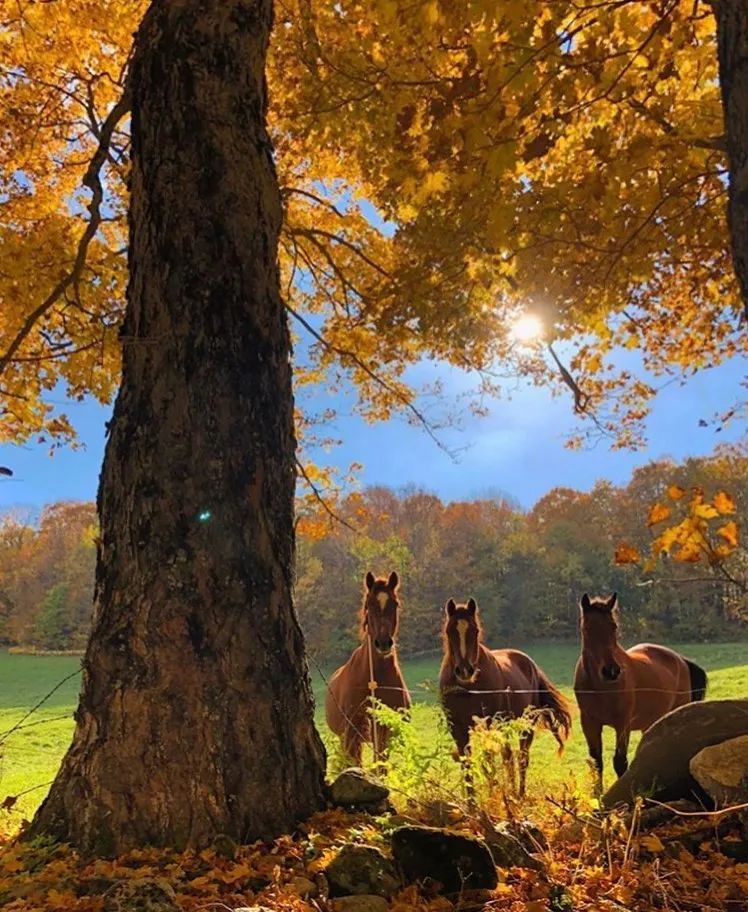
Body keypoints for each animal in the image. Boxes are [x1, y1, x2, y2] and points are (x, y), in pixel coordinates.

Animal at [326, 572, 412, 764]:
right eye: (369, 604)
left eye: (395, 604)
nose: (383, 643)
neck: (374, 679)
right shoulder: (352, 734)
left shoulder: (383, 731)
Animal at [438, 596, 572, 796]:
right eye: (449, 631)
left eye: (475, 631)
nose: (465, 671)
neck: (469, 688)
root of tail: (531, 665)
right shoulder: (457, 726)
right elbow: (468, 763)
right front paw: (472, 801)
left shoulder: (490, 722)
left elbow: (492, 761)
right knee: (508, 756)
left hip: (524, 724)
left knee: (520, 757)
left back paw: (519, 794)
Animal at [572, 592, 708, 784]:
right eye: (587, 628)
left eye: (613, 627)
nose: (611, 671)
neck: (600, 687)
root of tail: (680, 660)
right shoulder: (589, 723)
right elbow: (596, 762)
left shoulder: (622, 723)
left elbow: (620, 762)